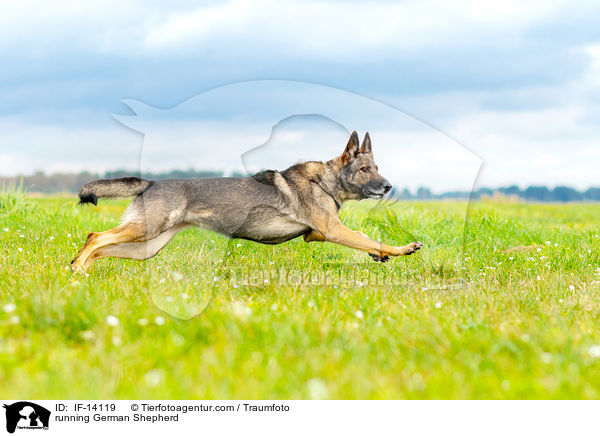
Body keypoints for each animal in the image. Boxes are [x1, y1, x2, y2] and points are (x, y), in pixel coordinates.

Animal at [71, 131, 422, 270]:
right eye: (365, 170)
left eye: (376, 167)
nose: (388, 186)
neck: (325, 181)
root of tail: (152, 182)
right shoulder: (333, 231)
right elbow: (370, 238)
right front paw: (402, 249)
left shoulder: (318, 234)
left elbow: (364, 237)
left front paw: (381, 255)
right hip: (145, 230)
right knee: (95, 237)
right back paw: (78, 270)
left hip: (146, 246)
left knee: (99, 245)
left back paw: (81, 271)